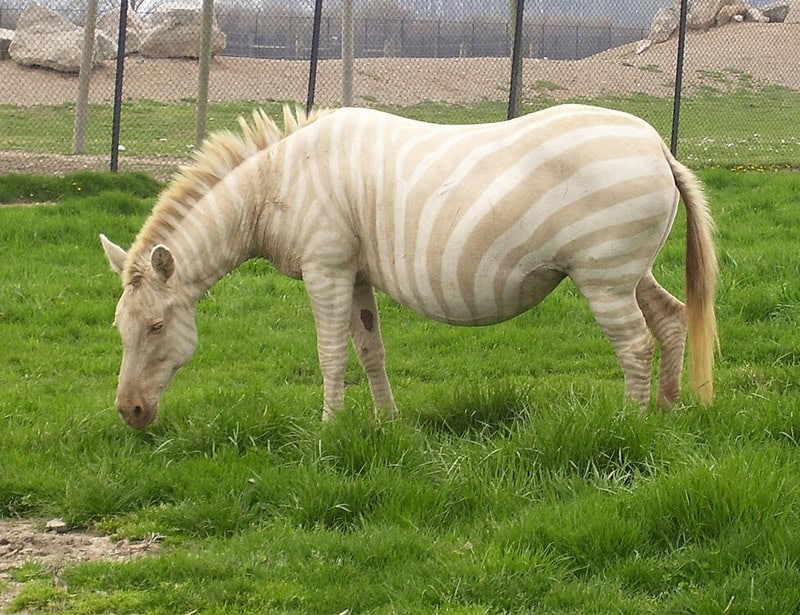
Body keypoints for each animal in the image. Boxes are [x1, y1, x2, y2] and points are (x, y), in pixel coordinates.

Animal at [100, 104, 717, 429]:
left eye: (156, 327)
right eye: (119, 329)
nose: (130, 413)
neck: (274, 186)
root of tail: (657, 144)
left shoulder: (326, 267)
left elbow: (330, 353)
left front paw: (328, 429)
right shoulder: (355, 274)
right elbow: (370, 350)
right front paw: (386, 424)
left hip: (603, 276)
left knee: (634, 343)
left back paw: (629, 425)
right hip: (626, 271)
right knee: (670, 319)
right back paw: (667, 412)